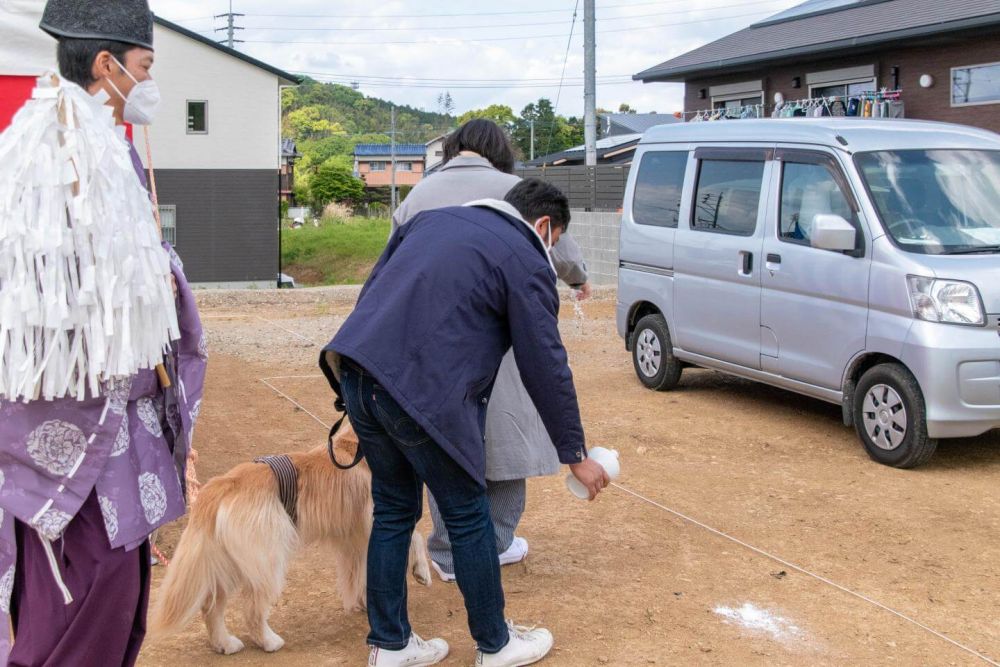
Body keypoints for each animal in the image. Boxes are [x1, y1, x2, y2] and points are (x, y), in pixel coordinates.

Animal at [150, 426, 432, 656]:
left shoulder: (356, 538)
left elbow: (362, 573)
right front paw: (422, 572)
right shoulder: (379, 519)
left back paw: (225, 644)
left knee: (211, 607)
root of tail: (223, 485)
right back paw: (268, 641)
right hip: (267, 559)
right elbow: (416, 538)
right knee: (252, 609)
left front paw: (364, 602)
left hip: (227, 564)